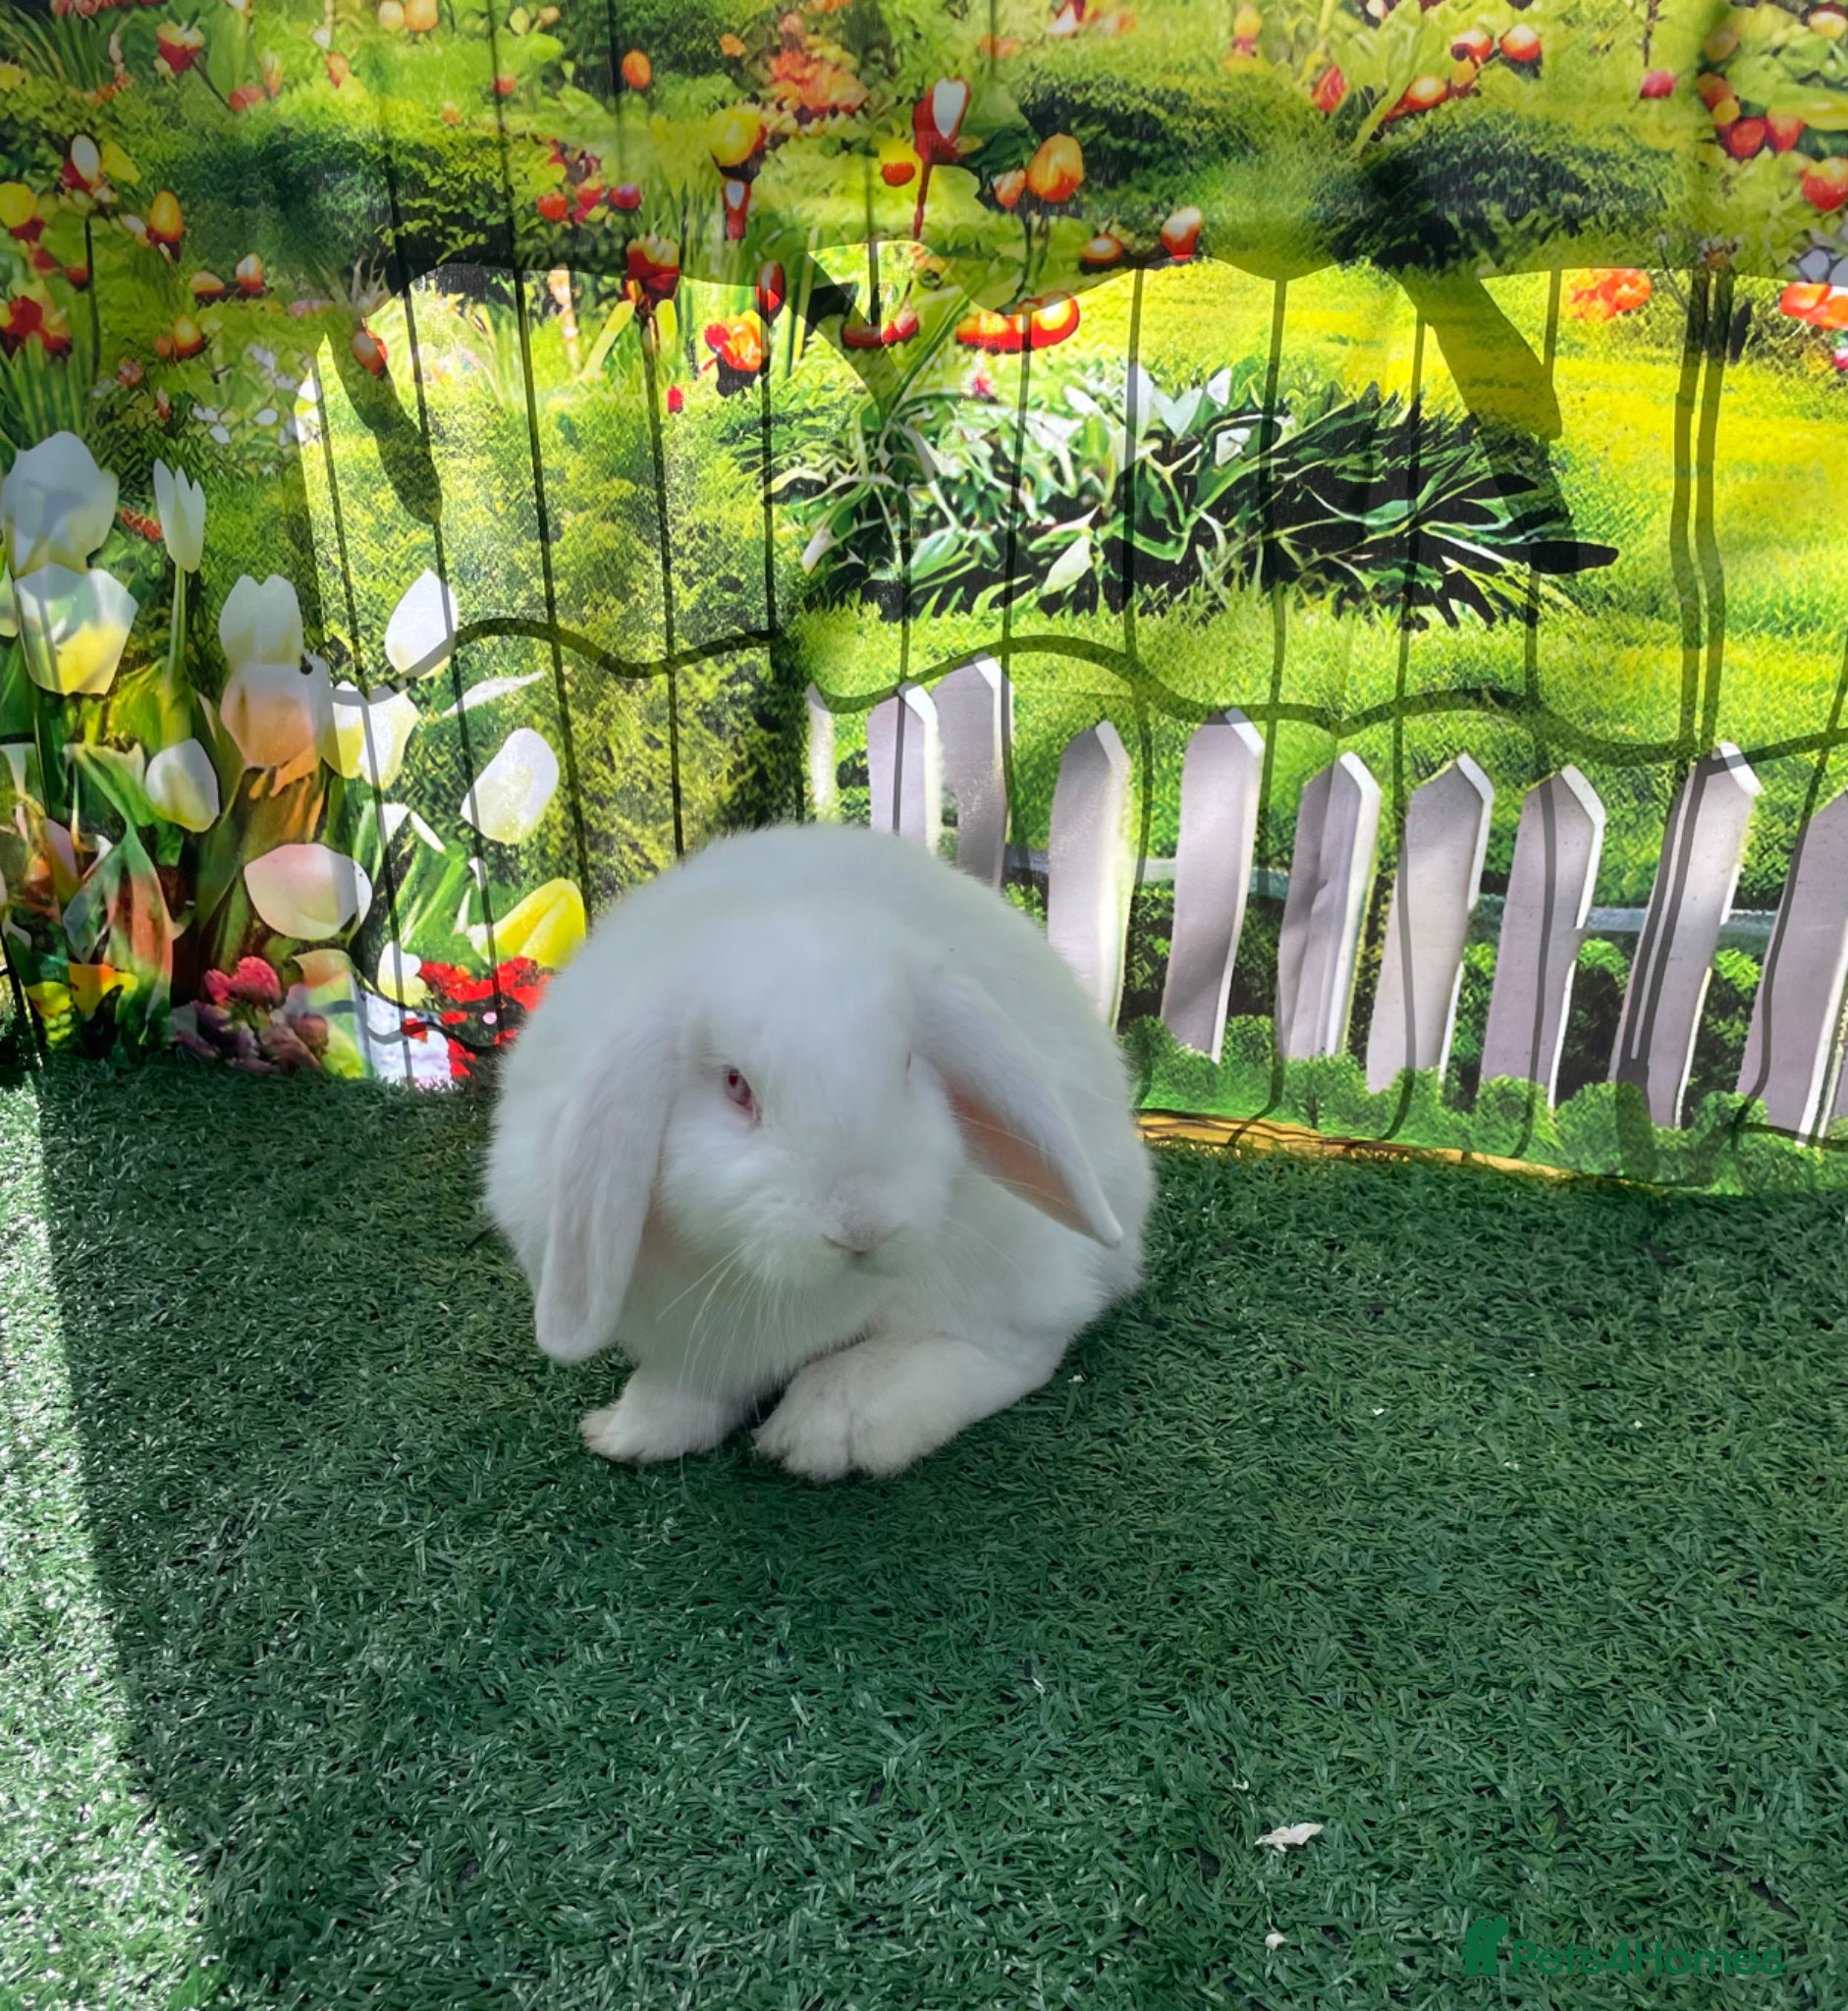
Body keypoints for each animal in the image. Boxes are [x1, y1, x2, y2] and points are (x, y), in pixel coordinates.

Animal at [485, 821, 1153, 1482]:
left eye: (906, 1064)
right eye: (736, 1085)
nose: (862, 1229)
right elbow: (691, 1386)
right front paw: (626, 1432)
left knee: (1018, 1346)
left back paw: (832, 1422)